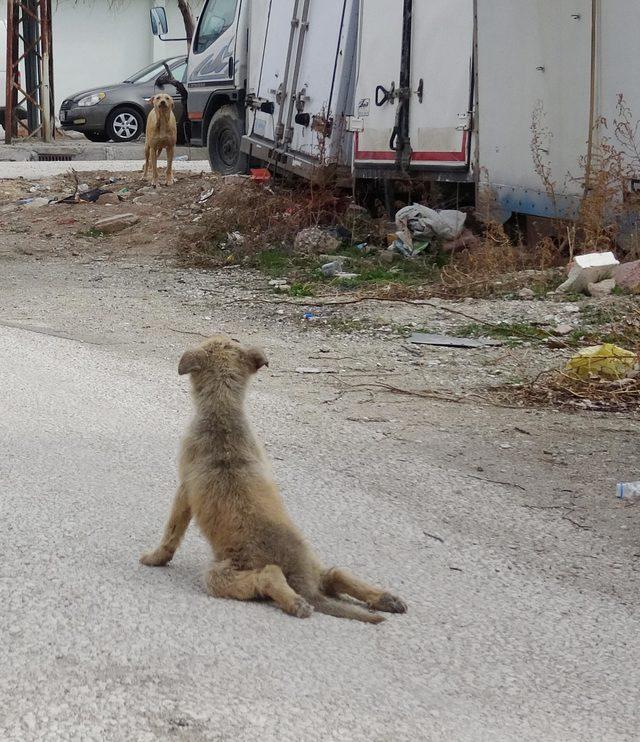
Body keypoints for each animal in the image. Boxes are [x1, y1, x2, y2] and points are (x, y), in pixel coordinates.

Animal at [142, 334, 408, 624]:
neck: (223, 412)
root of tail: (304, 583)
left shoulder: (184, 488)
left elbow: (172, 532)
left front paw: (155, 558)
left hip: (220, 575)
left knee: (267, 576)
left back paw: (295, 603)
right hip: (315, 564)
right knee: (335, 574)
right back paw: (383, 598)